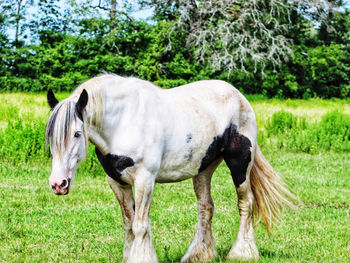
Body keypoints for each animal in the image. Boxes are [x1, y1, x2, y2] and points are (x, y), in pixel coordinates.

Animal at [46, 74, 296, 263]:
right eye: (50, 136)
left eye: (77, 133)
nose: (58, 184)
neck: (123, 122)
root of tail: (239, 96)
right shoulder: (116, 181)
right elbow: (129, 224)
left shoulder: (145, 180)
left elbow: (140, 225)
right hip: (203, 169)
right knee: (206, 208)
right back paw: (200, 255)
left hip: (240, 163)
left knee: (246, 203)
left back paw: (242, 253)